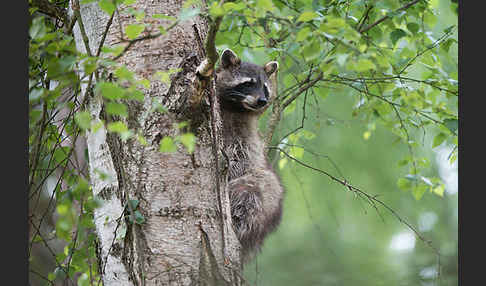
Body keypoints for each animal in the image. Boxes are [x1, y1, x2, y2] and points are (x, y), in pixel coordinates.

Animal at [214, 48, 284, 262]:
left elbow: (242, 161)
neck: (236, 108)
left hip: (265, 203)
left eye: (265, 88)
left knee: (256, 187)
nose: (262, 100)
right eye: (248, 84)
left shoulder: (246, 142)